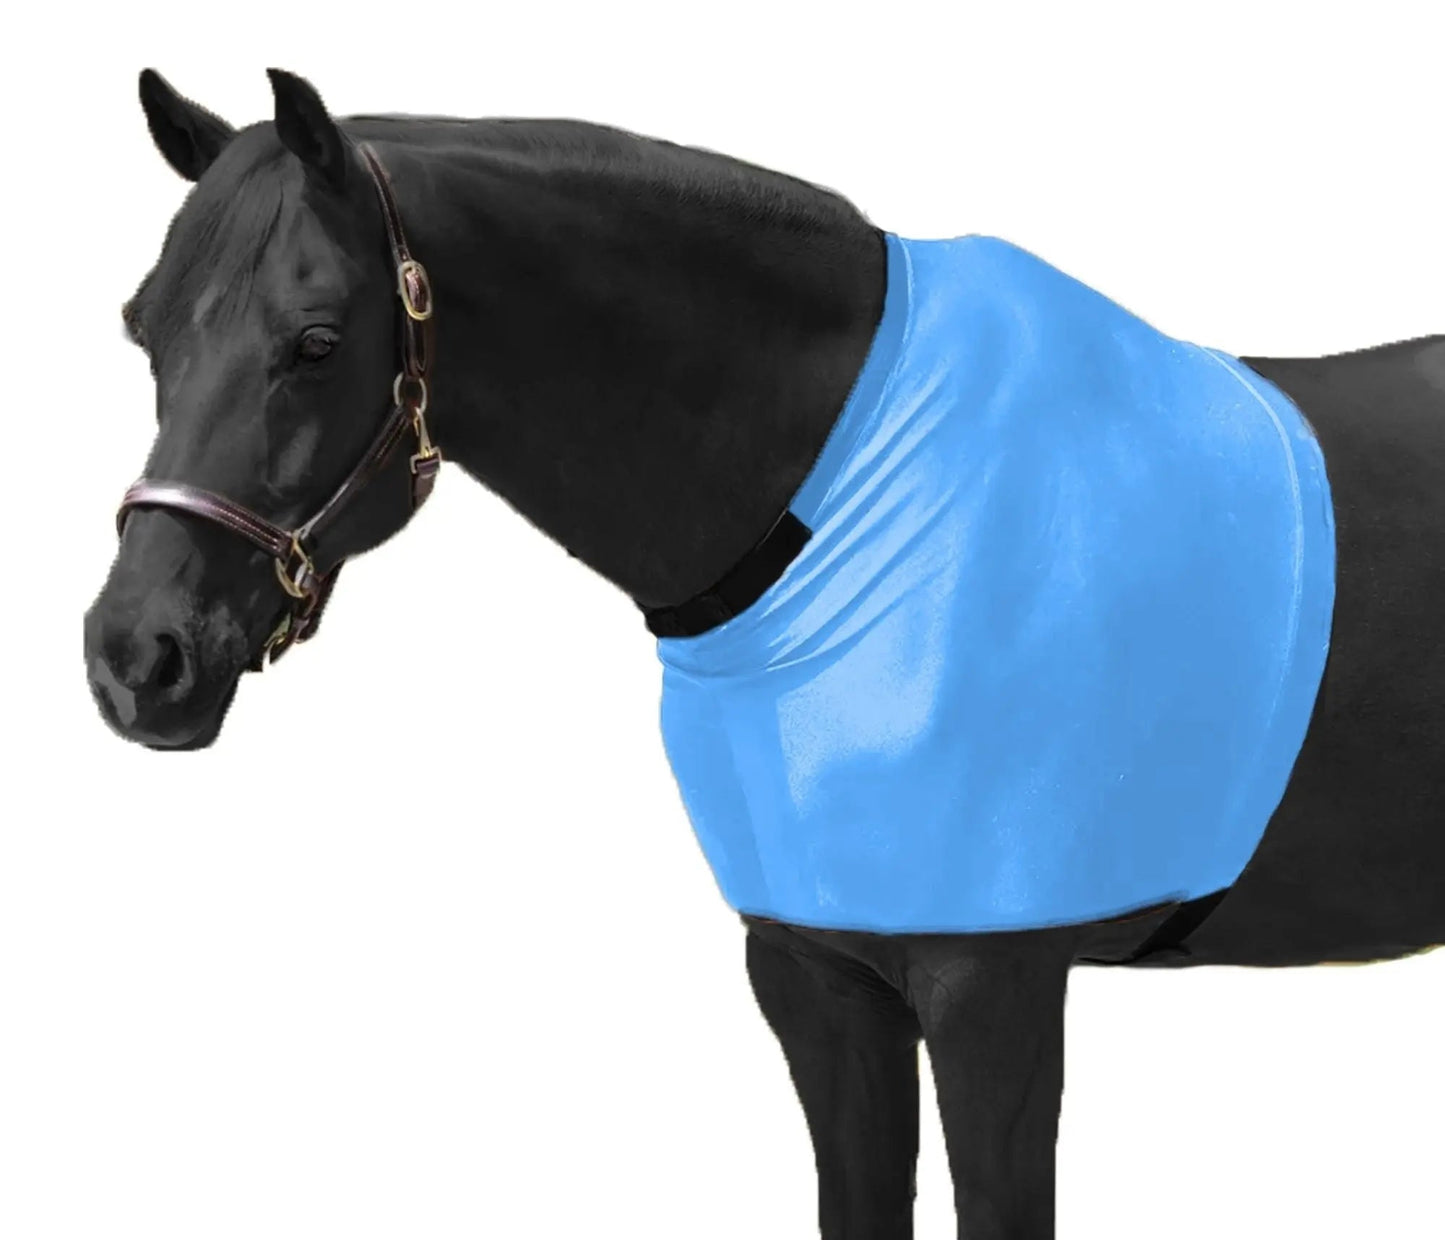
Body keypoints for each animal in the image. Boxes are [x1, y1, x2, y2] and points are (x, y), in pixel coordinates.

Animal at [83, 68, 1444, 1240]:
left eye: (316, 338)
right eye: (143, 330)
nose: (136, 656)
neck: (842, 499)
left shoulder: (992, 988)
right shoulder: (814, 971)